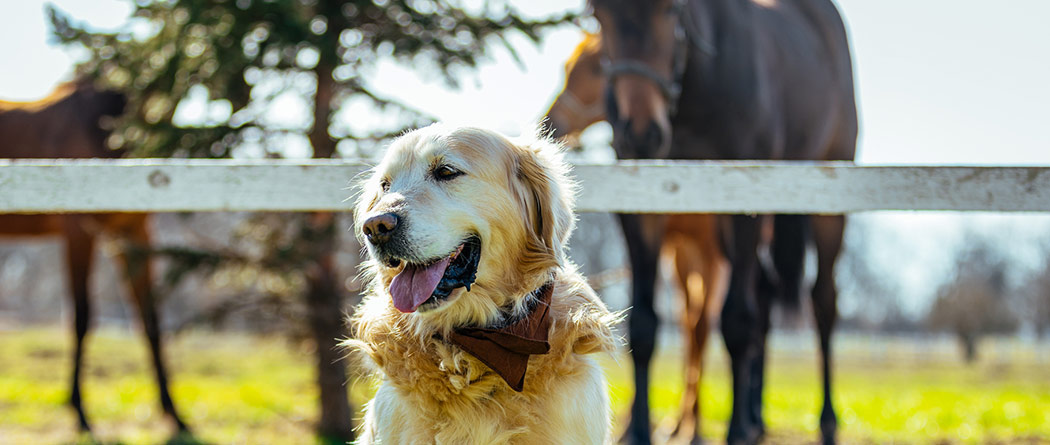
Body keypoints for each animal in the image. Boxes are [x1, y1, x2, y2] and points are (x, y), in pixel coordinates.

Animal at [0, 78, 188, 432]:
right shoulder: (78, 230)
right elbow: (81, 316)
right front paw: (79, 411)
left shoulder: (135, 232)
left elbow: (149, 318)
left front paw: (174, 412)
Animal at [546, 33, 726, 442]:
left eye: (593, 69)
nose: (552, 121)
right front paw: (632, 421)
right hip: (683, 258)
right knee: (690, 325)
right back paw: (680, 423)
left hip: (712, 259)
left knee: (702, 327)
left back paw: (696, 425)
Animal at [588, 0, 856, 445]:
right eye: (598, 15)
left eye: (671, 11)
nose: (641, 133)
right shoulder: (641, 211)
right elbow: (644, 324)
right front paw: (640, 430)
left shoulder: (743, 204)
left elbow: (735, 321)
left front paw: (733, 430)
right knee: (764, 294)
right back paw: (755, 419)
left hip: (824, 205)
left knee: (822, 302)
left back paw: (826, 420)